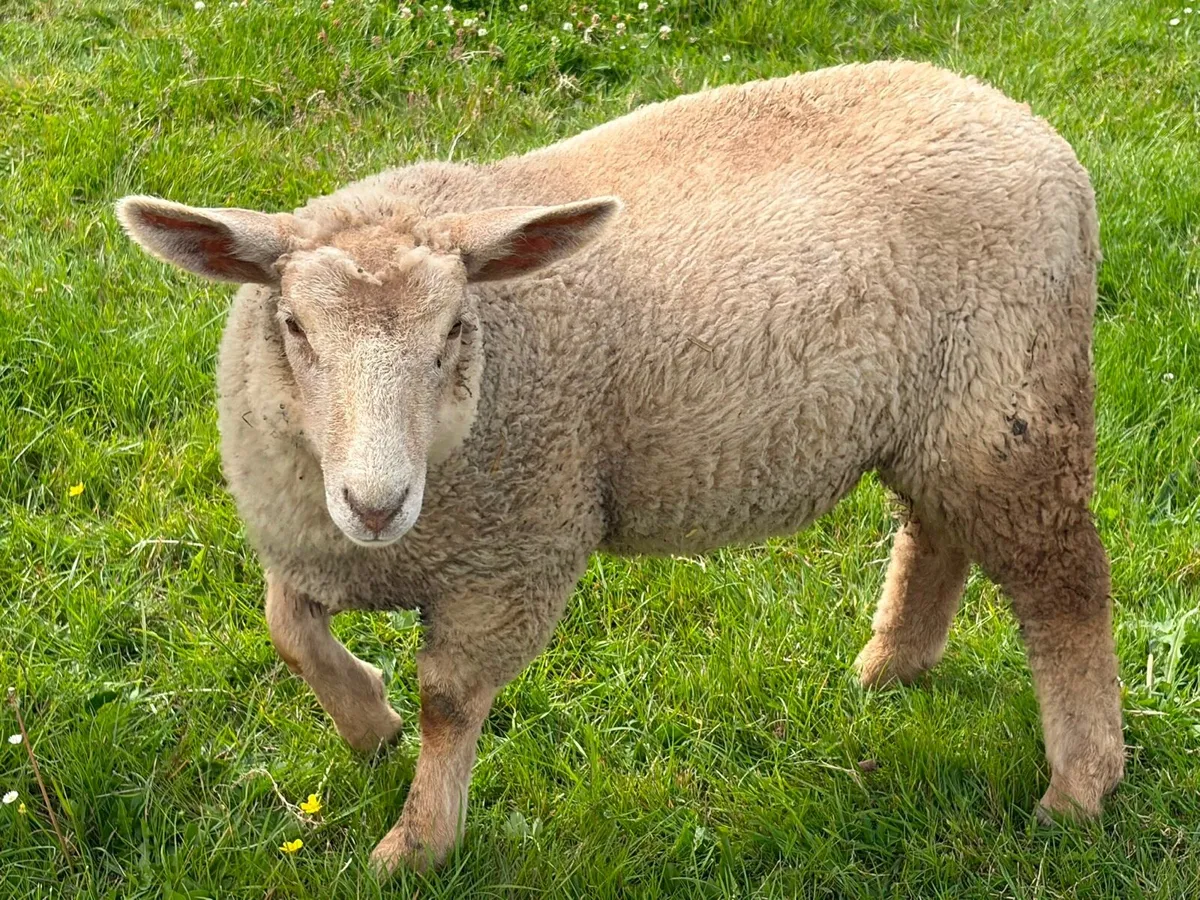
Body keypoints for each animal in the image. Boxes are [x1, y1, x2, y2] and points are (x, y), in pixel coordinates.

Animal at [116, 60, 1124, 874]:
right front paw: (368, 723)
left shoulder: (514, 555)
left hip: (1012, 402)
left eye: (455, 330)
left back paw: (1081, 785)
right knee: (937, 532)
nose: (376, 502)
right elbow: (288, 627)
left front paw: (417, 843)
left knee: (1065, 585)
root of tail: (1012, 114)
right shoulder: (312, 536)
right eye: (293, 327)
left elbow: (449, 701)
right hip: (935, 420)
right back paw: (891, 668)